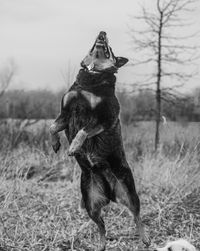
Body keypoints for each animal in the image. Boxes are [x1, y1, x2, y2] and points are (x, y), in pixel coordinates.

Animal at [49, 31, 150, 251]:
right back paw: (101, 245)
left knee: (137, 215)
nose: (103, 32)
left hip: (129, 193)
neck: (93, 75)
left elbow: (83, 131)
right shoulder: (65, 114)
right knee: (102, 227)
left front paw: (74, 146)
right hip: (90, 203)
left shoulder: (105, 117)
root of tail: (109, 193)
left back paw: (144, 238)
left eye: (110, 48)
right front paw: (55, 143)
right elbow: (52, 126)